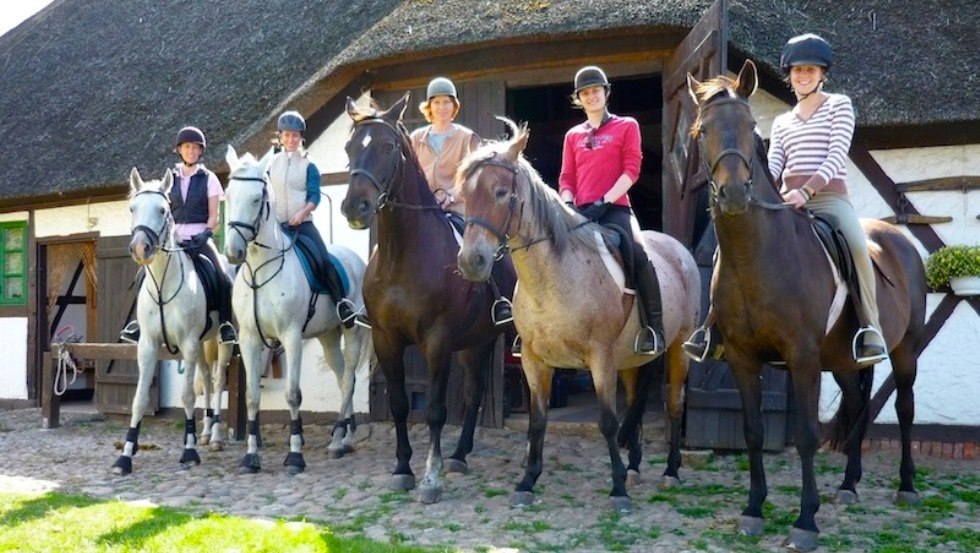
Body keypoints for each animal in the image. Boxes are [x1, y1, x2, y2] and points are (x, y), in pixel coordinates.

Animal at [112, 168, 234, 474]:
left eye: (162, 210)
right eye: (132, 208)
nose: (140, 249)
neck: (163, 287)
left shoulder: (188, 343)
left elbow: (188, 396)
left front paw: (189, 451)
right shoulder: (148, 345)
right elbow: (139, 399)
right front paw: (125, 455)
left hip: (219, 343)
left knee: (217, 380)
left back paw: (214, 438)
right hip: (202, 345)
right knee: (207, 378)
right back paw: (204, 433)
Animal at [224, 144, 374, 472]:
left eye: (257, 199)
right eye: (227, 195)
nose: (233, 252)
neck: (260, 270)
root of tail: (357, 259)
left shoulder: (290, 336)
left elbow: (293, 395)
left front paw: (294, 455)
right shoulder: (251, 339)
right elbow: (252, 396)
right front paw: (251, 457)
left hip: (352, 332)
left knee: (348, 379)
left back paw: (338, 441)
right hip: (328, 336)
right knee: (342, 376)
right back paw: (345, 437)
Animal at [340, 92, 516, 502]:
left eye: (388, 147)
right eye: (349, 147)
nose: (355, 208)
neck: (401, 256)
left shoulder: (436, 342)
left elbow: (435, 409)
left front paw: (431, 479)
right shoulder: (386, 340)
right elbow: (400, 405)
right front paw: (403, 469)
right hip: (471, 344)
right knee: (472, 393)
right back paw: (459, 454)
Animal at [456, 118, 700, 512]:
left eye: (501, 193)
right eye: (465, 193)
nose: (471, 261)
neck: (553, 280)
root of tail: (679, 250)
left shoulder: (600, 358)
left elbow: (607, 422)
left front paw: (617, 490)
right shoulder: (535, 361)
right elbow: (538, 421)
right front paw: (527, 482)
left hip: (678, 348)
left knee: (674, 403)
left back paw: (671, 471)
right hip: (629, 360)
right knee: (636, 404)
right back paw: (635, 468)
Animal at [684, 58, 924, 548]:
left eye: (750, 126)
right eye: (703, 130)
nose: (733, 195)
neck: (758, 256)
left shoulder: (802, 357)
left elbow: (808, 436)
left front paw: (805, 522)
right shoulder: (742, 358)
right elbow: (753, 431)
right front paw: (753, 510)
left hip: (905, 351)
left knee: (905, 409)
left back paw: (906, 487)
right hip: (845, 361)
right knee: (858, 404)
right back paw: (849, 485)